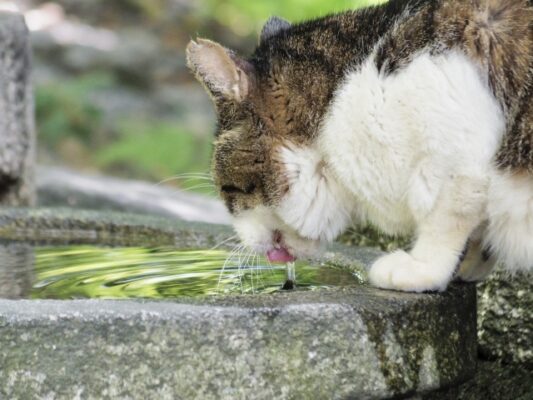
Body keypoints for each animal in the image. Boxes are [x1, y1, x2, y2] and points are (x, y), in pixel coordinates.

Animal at [186, 0, 532, 292]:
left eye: (228, 190)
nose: (245, 243)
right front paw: (472, 261)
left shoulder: (456, 154)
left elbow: (446, 217)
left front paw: (422, 267)